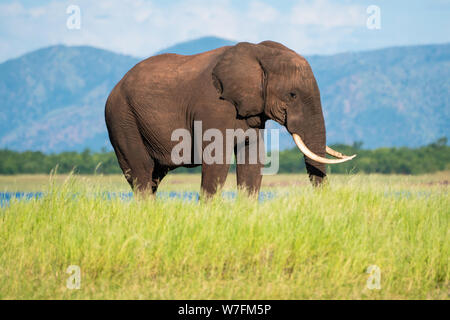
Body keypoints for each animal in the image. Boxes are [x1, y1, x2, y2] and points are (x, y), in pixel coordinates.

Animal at [105, 41, 356, 196]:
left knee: (153, 177)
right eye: (292, 95)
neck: (258, 52)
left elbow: (252, 158)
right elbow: (216, 159)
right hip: (122, 119)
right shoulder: (214, 105)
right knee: (141, 172)